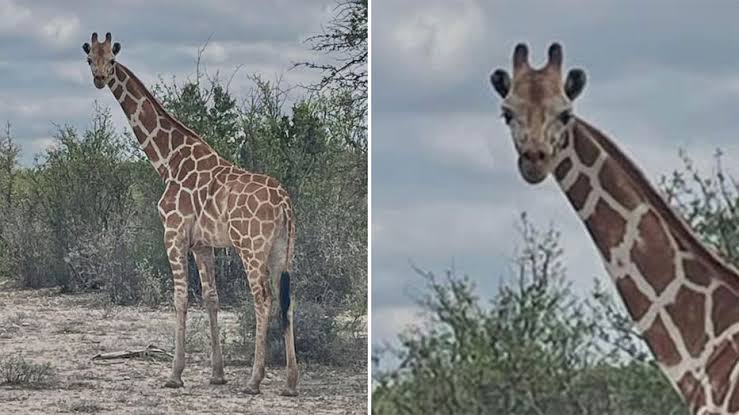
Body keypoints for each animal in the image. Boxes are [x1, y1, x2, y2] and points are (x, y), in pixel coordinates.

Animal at [82, 32, 299, 396]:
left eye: (111, 59)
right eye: (89, 59)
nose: (99, 78)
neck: (168, 160)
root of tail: (285, 203)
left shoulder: (173, 232)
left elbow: (180, 297)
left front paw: (175, 374)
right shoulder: (202, 243)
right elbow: (211, 298)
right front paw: (217, 374)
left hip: (251, 247)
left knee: (263, 298)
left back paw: (254, 380)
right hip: (283, 249)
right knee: (287, 299)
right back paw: (290, 383)